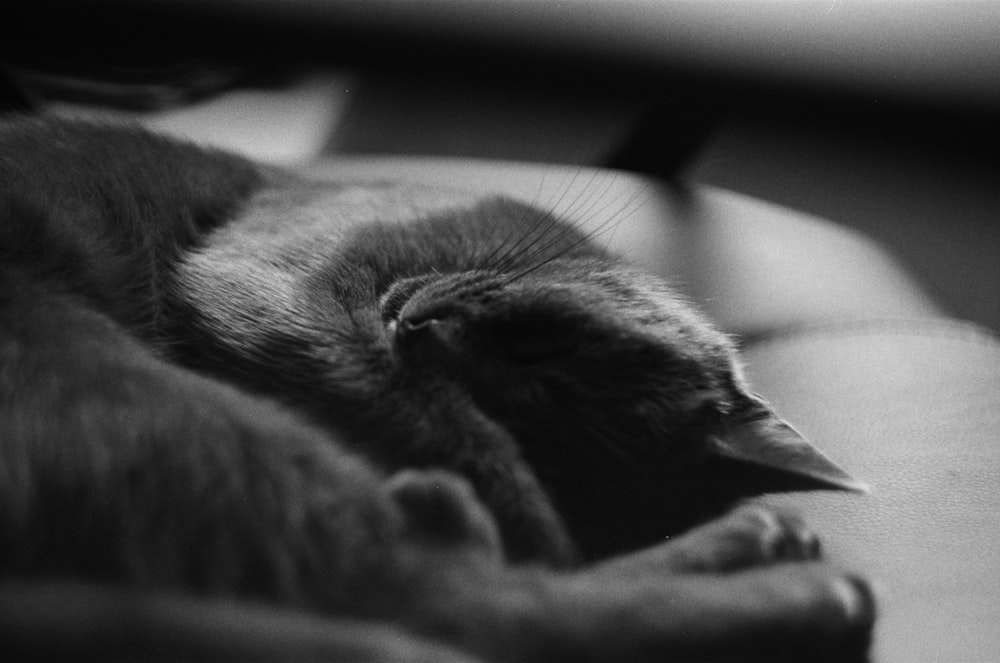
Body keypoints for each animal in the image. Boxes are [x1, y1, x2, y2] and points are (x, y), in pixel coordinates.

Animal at [0, 119, 876, 663]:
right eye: (540, 343)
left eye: (536, 418)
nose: (418, 327)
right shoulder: (271, 275)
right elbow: (428, 414)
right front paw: (514, 509)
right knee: (452, 604)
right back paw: (795, 572)